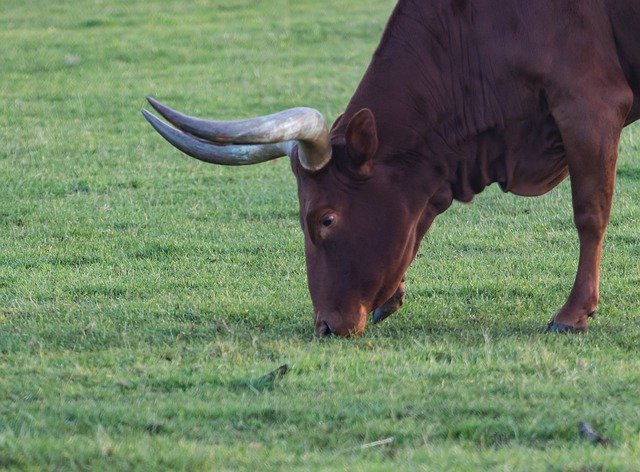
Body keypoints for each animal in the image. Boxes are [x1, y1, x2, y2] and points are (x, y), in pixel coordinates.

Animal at [141, 0, 640, 340]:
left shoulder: (588, 105)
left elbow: (589, 213)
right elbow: (415, 225)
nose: (325, 327)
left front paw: (573, 314)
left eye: (325, 219)